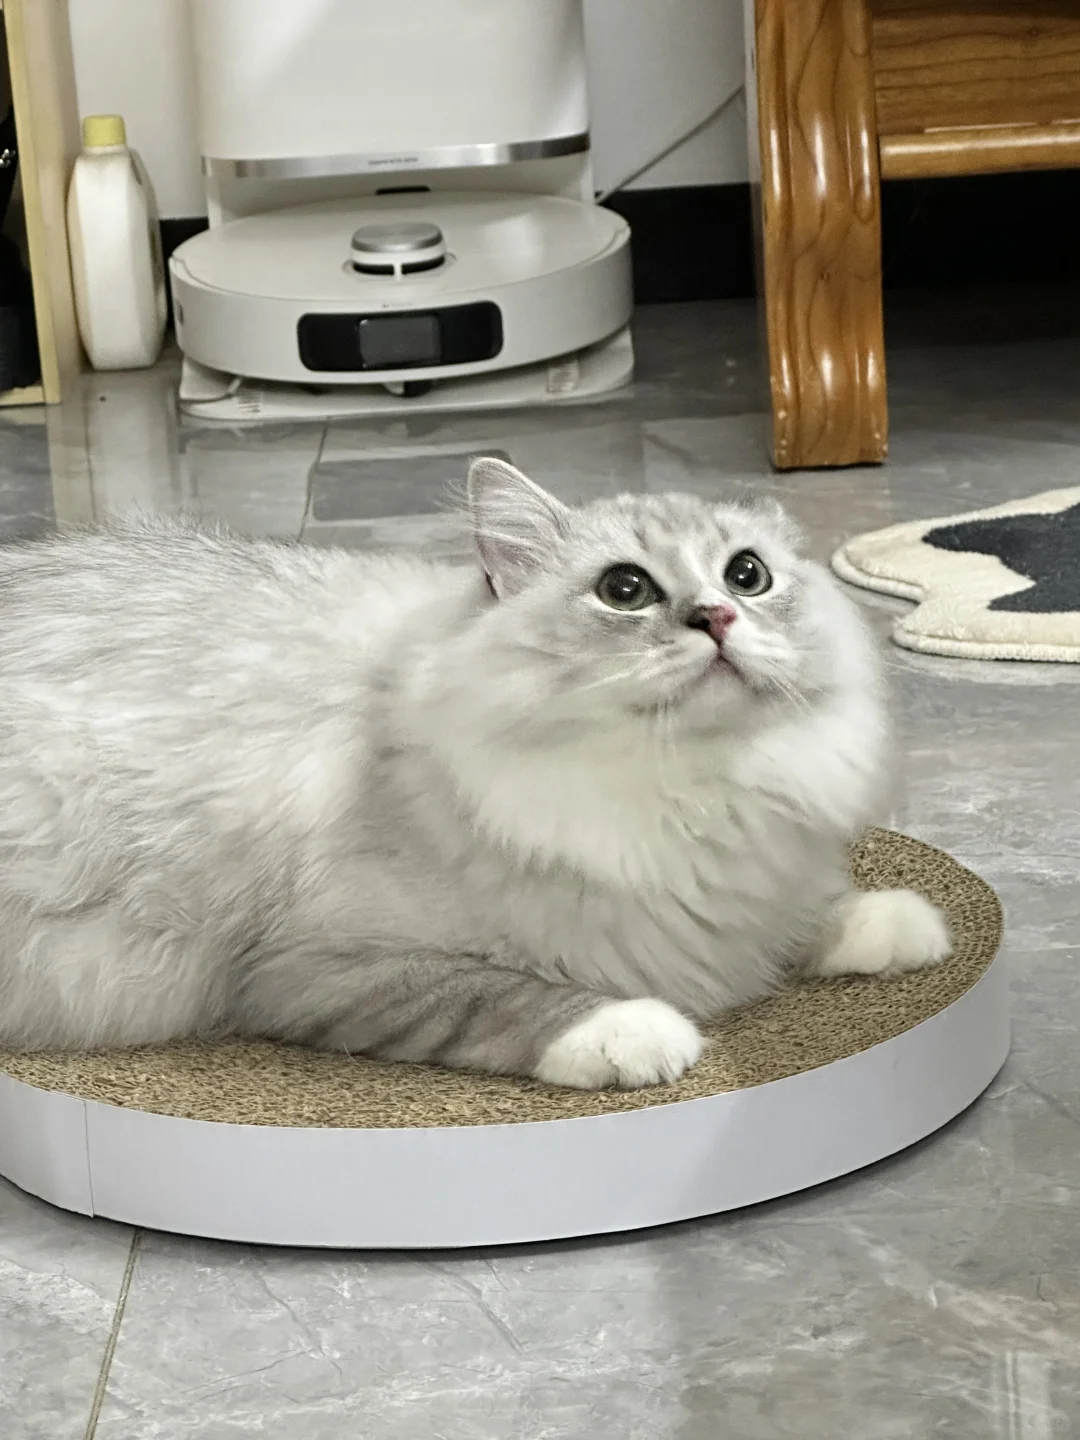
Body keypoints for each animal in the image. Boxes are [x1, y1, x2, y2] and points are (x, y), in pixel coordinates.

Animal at [0, 458, 950, 1088]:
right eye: (626, 590)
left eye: (747, 575)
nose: (716, 617)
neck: (685, 789)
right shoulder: (321, 967)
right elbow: (508, 998)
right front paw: (637, 1033)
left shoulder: (749, 875)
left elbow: (805, 913)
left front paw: (898, 927)